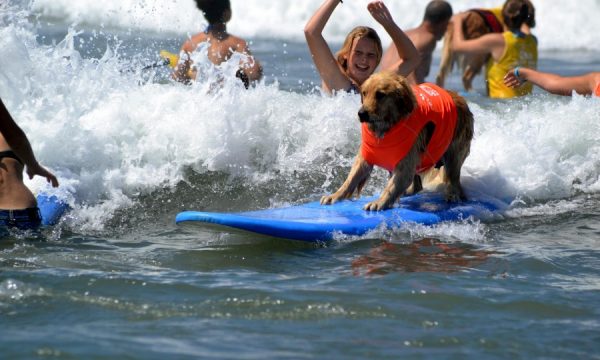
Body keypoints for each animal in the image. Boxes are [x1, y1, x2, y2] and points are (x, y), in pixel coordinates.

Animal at [322, 71, 472, 211]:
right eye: (364, 93)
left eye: (380, 94)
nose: (361, 114)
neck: (388, 126)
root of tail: (461, 99)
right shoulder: (365, 157)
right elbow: (350, 179)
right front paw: (335, 196)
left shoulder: (405, 164)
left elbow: (391, 187)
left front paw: (379, 202)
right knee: (418, 185)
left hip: (453, 155)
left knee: (453, 179)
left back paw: (452, 195)